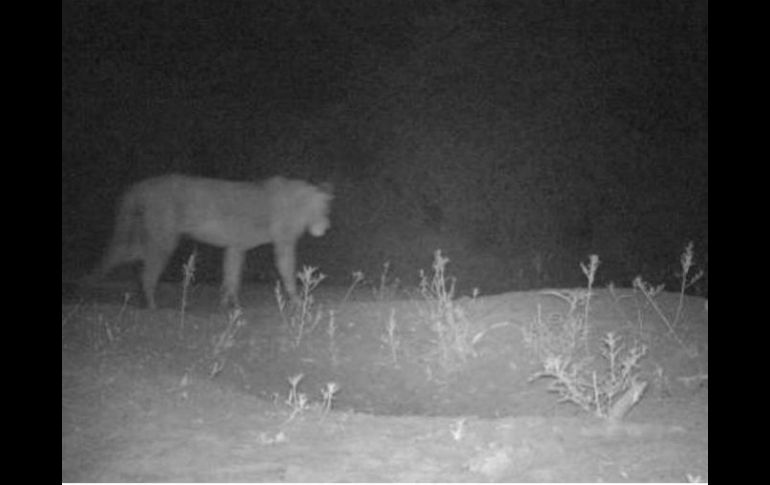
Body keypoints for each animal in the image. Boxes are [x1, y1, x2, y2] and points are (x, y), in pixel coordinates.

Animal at [90, 174, 330, 308]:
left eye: (327, 207)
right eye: (317, 207)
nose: (326, 226)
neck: (296, 204)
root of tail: (140, 186)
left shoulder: (236, 246)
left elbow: (232, 276)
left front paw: (229, 304)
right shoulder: (283, 243)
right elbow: (287, 271)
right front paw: (298, 301)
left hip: (153, 238)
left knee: (122, 254)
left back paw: (95, 284)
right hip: (163, 239)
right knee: (147, 272)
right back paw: (151, 305)